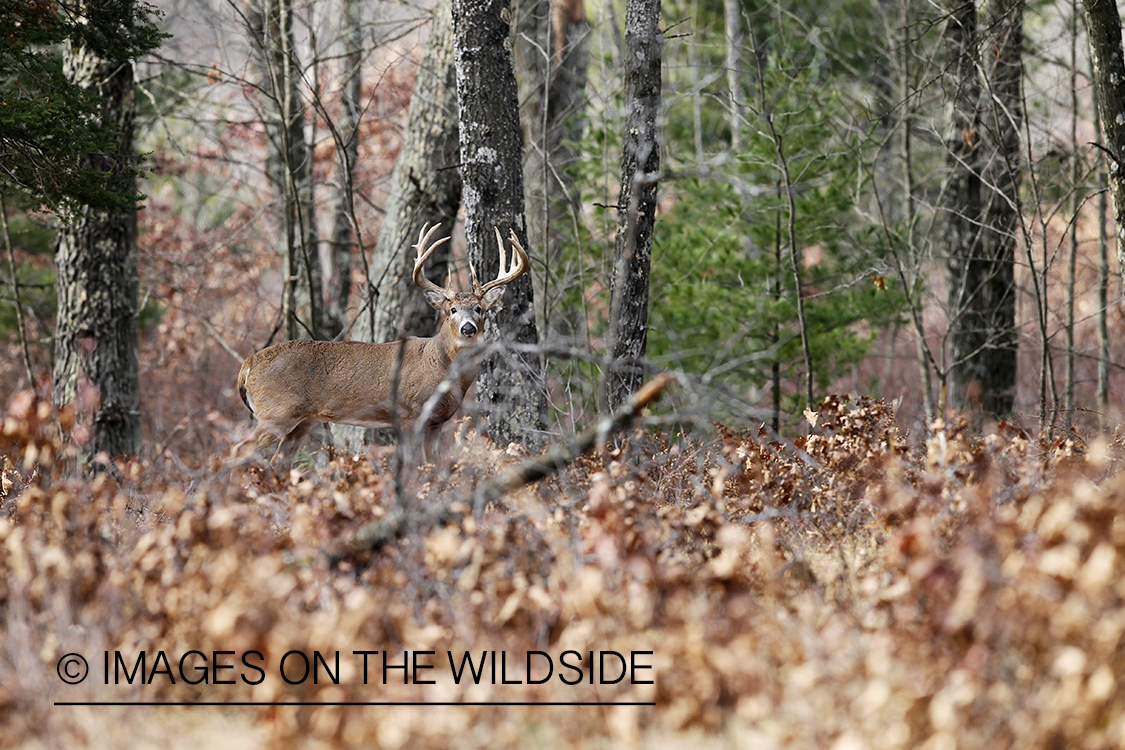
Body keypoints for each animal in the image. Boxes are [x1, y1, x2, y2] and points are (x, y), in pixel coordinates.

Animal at [234, 224, 531, 463]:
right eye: (452, 310)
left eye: (480, 309)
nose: (468, 328)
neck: (442, 366)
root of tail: (247, 365)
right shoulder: (411, 414)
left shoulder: (437, 422)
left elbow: (435, 466)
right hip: (276, 412)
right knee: (238, 450)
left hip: (302, 420)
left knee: (279, 462)